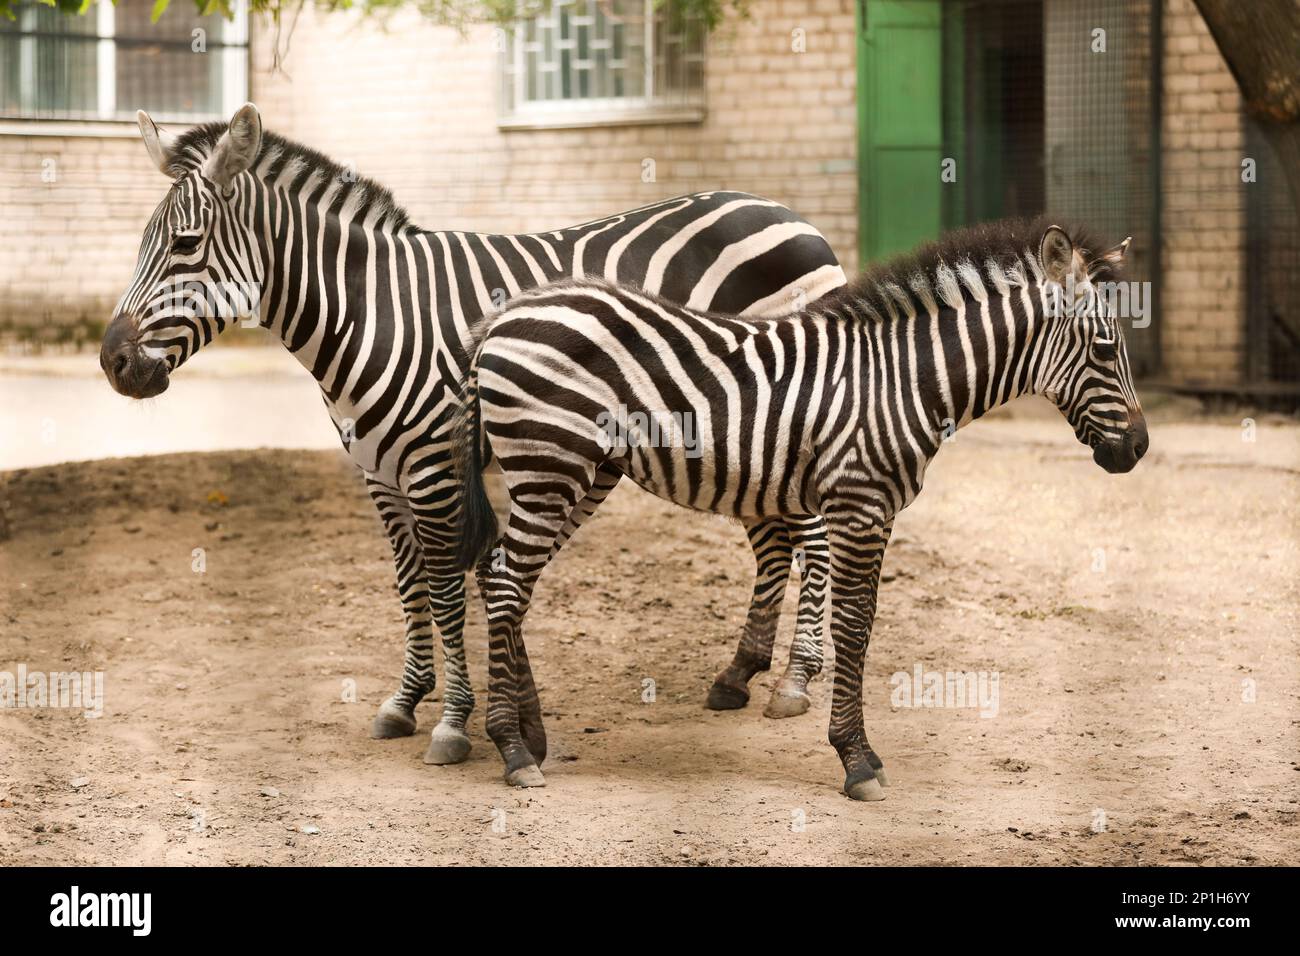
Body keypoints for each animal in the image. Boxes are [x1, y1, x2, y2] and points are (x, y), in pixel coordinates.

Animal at [101, 102, 847, 764]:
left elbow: (443, 587)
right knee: (774, 539)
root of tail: (788, 213)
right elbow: (409, 585)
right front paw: (406, 700)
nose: (112, 363)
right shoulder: (379, 472)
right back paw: (740, 673)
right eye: (141, 245)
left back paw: (795, 679)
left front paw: (454, 722)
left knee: (809, 536)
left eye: (185, 245)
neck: (368, 312)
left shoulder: (433, 465)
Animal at [452, 214, 1144, 801]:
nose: (1137, 449)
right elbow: (854, 628)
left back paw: (531, 733)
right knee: (507, 584)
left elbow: (858, 624)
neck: (900, 380)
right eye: (1106, 351)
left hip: (580, 472)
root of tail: (502, 320)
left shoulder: (876, 510)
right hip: (550, 465)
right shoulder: (858, 503)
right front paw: (856, 760)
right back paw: (513, 749)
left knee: (502, 577)